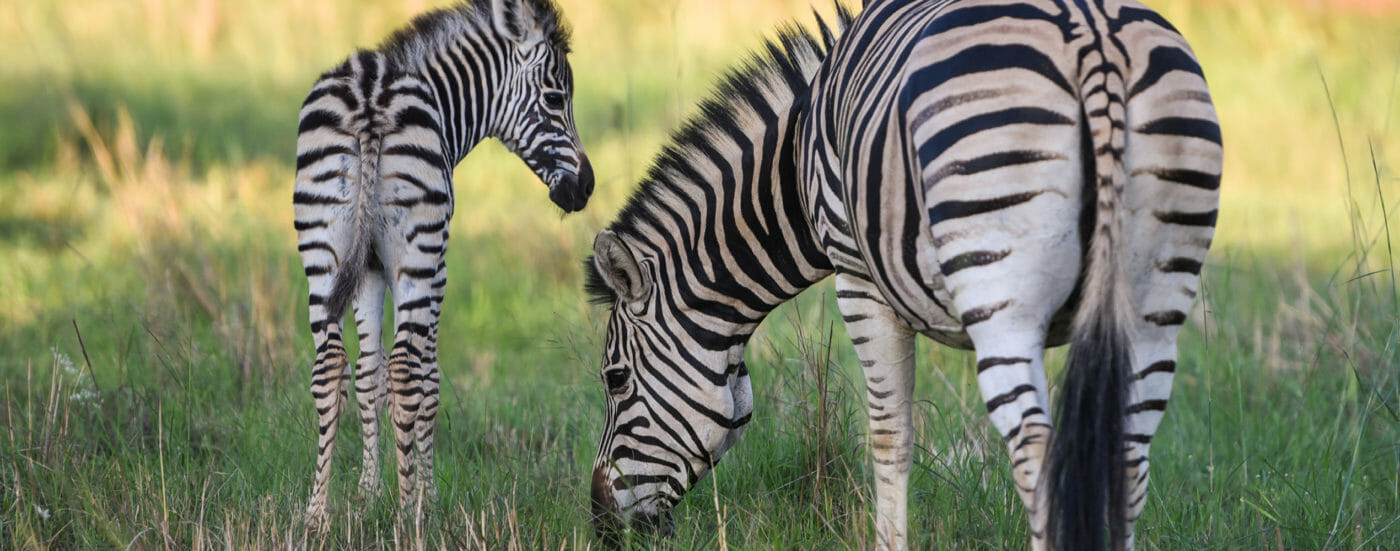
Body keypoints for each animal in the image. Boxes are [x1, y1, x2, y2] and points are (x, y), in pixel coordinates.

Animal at [294, 0, 591, 530]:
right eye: (556, 99)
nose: (588, 188)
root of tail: (369, 97)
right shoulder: (440, 266)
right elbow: (427, 380)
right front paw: (423, 497)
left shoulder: (369, 268)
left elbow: (368, 374)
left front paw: (368, 494)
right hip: (419, 249)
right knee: (407, 369)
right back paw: (407, 519)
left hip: (321, 245)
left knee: (329, 367)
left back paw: (316, 516)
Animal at [587, 0, 1220, 549]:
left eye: (615, 379)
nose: (601, 526)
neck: (798, 158)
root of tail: (1091, 37)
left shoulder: (857, 278)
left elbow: (889, 434)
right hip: (1155, 298)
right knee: (1127, 460)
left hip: (1002, 294)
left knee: (1038, 457)